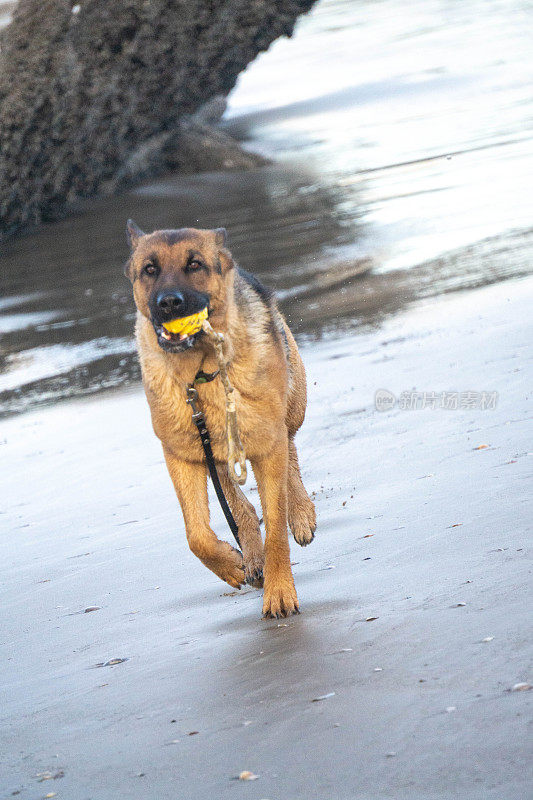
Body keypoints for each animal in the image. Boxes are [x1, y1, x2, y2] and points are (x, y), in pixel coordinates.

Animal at [123, 220, 316, 620]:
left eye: (194, 264)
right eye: (149, 269)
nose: (169, 303)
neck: (198, 375)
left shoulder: (266, 444)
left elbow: (276, 527)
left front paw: (279, 592)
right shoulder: (181, 455)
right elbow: (196, 535)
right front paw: (231, 565)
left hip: (290, 408)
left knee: (290, 453)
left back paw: (302, 513)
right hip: (216, 450)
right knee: (238, 501)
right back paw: (251, 557)